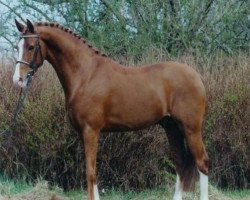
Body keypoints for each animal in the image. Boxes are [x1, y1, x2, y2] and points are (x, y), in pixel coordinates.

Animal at [13, 19, 209, 200]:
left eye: (31, 46)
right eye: (17, 47)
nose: (18, 79)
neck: (85, 74)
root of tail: (197, 76)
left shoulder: (91, 131)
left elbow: (90, 172)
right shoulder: (82, 133)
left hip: (191, 128)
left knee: (202, 162)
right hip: (171, 127)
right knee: (180, 163)